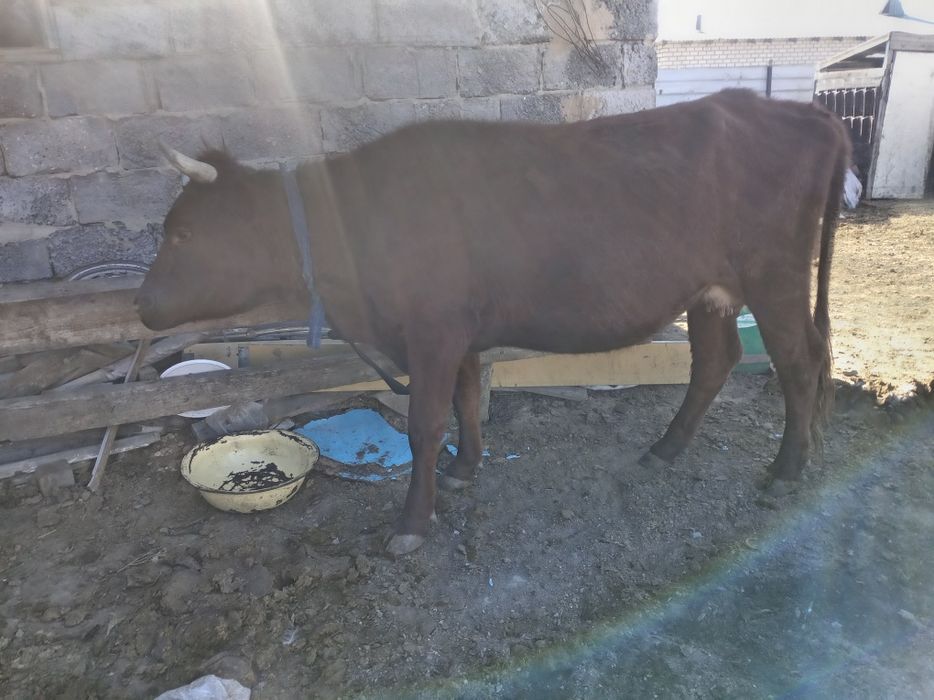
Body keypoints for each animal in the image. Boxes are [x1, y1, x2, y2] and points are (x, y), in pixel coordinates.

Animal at [137, 89, 851, 555]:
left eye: (185, 231)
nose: (141, 305)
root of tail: (800, 111)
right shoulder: (456, 332)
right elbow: (466, 399)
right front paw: (465, 468)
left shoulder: (430, 331)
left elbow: (426, 424)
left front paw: (412, 523)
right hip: (711, 290)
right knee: (716, 360)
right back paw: (666, 449)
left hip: (775, 275)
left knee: (801, 361)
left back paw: (786, 471)